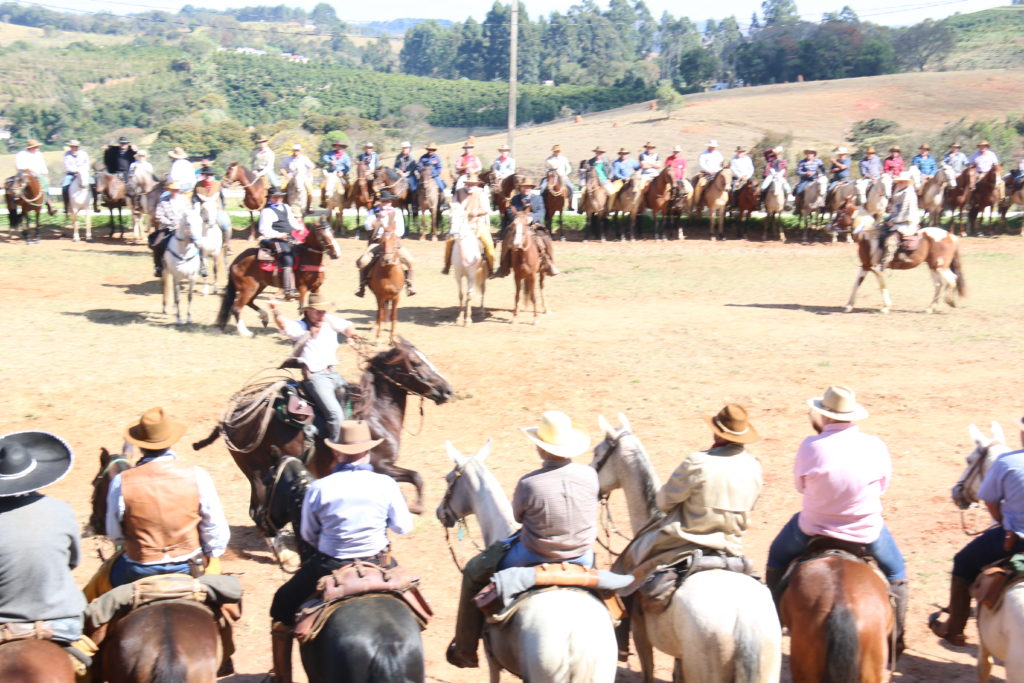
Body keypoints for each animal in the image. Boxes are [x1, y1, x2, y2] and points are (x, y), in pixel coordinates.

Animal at [190, 337, 450, 565]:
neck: (376, 416)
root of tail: (233, 416)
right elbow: (413, 480)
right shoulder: (382, 466)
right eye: (416, 363)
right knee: (258, 512)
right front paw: (413, 508)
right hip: (256, 472)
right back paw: (285, 555)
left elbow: (411, 480)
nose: (447, 390)